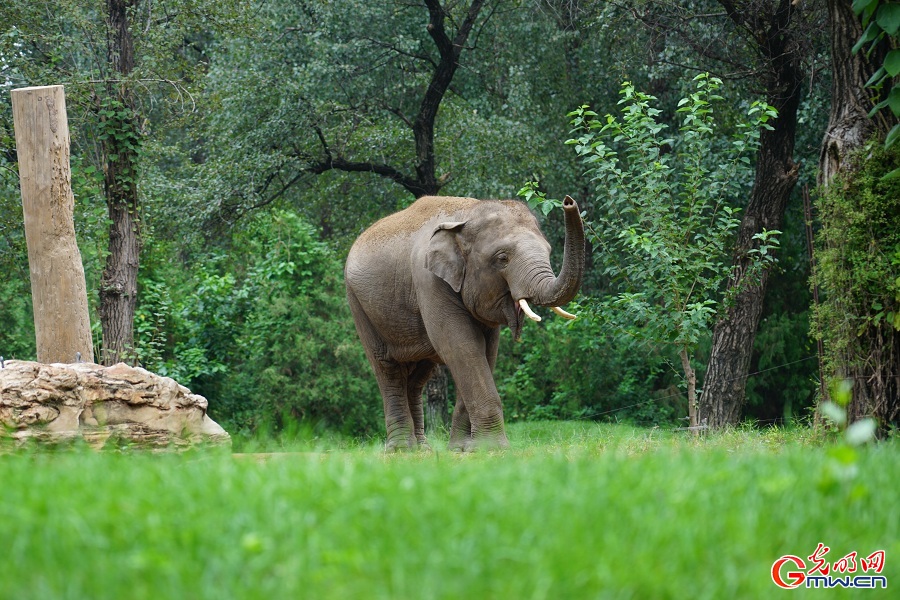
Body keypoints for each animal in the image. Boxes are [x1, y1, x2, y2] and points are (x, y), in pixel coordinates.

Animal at [342, 195, 584, 452]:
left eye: (548, 250)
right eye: (502, 258)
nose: (568, 202)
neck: (466, 214)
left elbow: (487, 351)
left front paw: (462, 448)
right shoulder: (428, 280)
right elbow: (461, 346)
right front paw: (490, 448)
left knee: (418, 376)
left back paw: (422, 450)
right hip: (358, 304)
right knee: (387, 368)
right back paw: (402, 451)